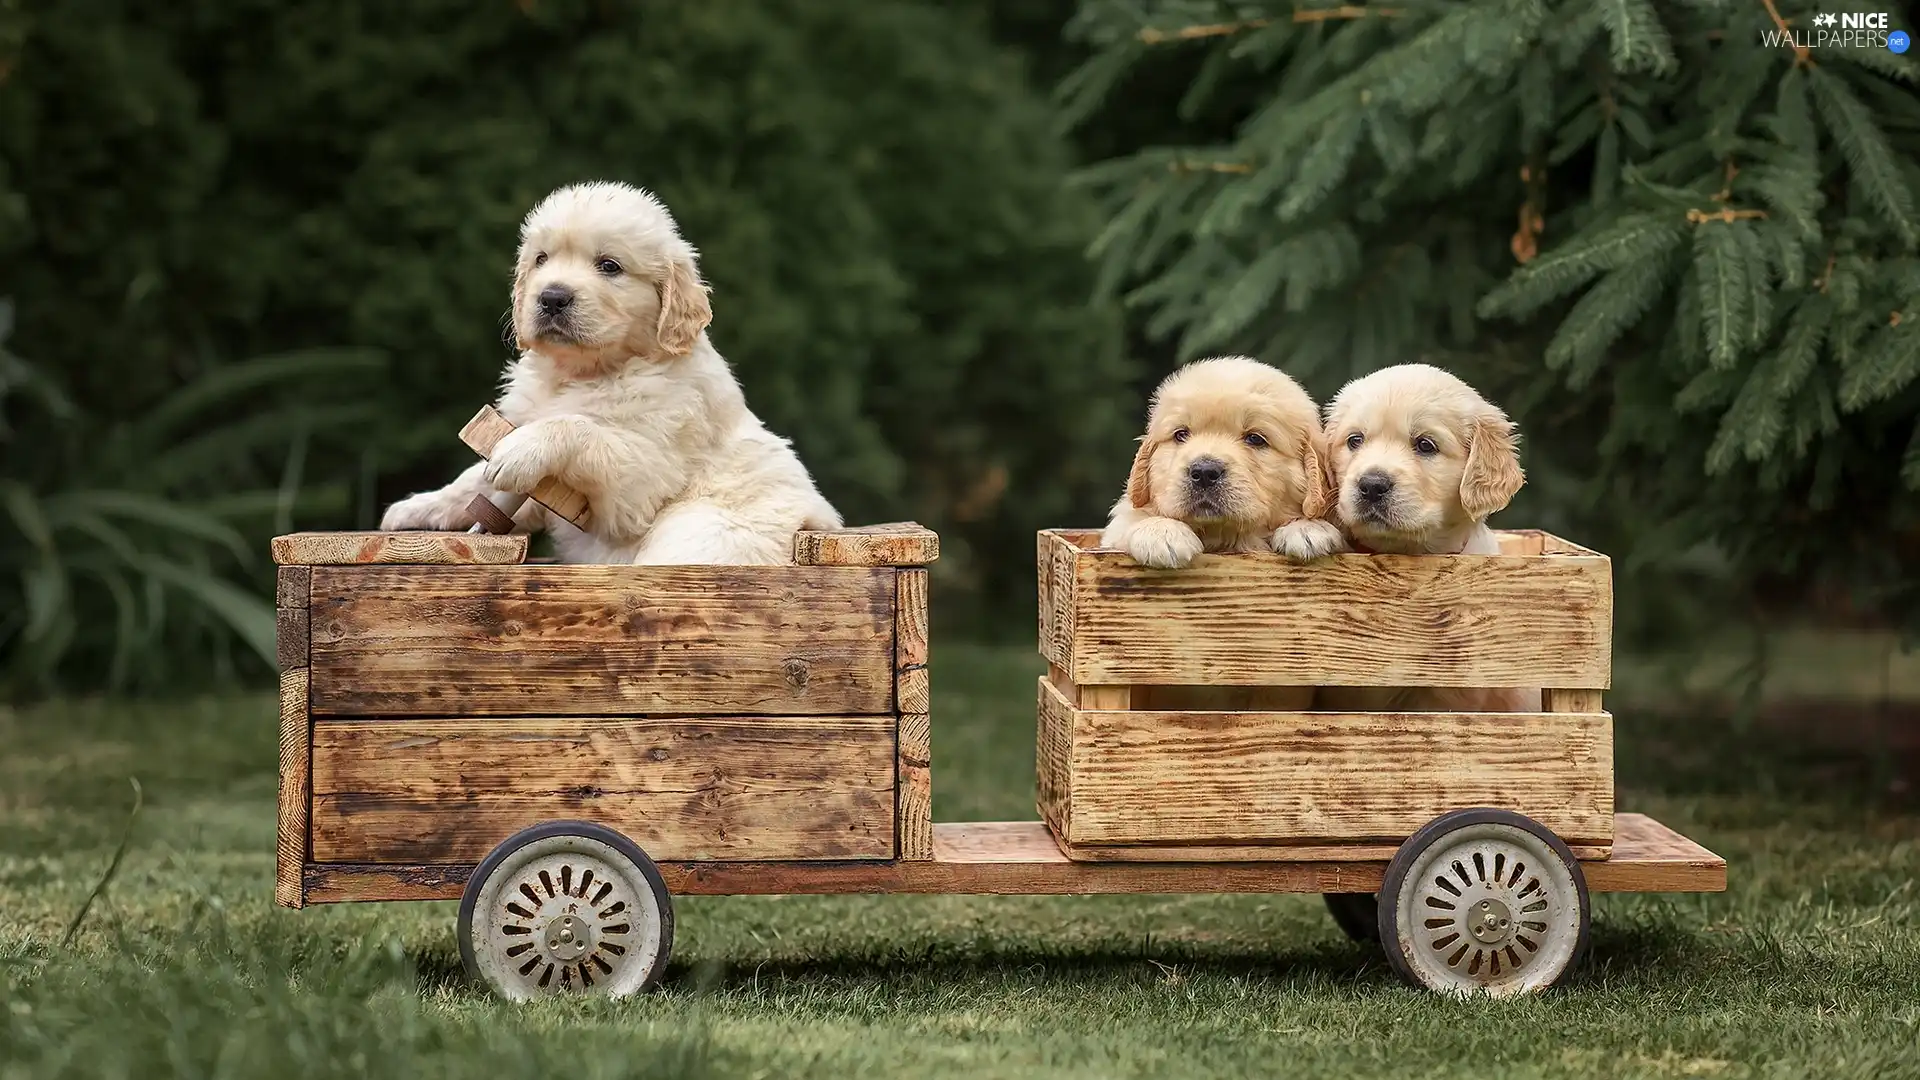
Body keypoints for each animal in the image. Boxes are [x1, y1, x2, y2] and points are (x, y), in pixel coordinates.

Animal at [382, 178, 840, 564]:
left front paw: (525, 449)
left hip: (704, 533)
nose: (552, 297)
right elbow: (478, 481)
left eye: (609, 266)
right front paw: (416, 507)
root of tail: (813, 523)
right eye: (541, 259)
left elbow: (579, 428)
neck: (584, 371)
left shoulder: (643, 475)